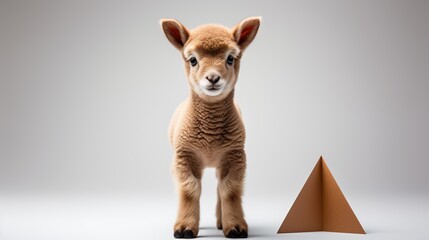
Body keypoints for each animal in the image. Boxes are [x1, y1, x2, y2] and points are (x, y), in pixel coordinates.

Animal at [160, 16, 260, 238]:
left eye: (230, 58)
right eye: (193, 60)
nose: (213, 78)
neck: (210, 138)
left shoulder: (235, 156)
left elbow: (230, 190)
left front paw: (236, 226)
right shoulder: (184, 156)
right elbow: (189, 190)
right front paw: (185, 227)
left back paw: (221, 221)